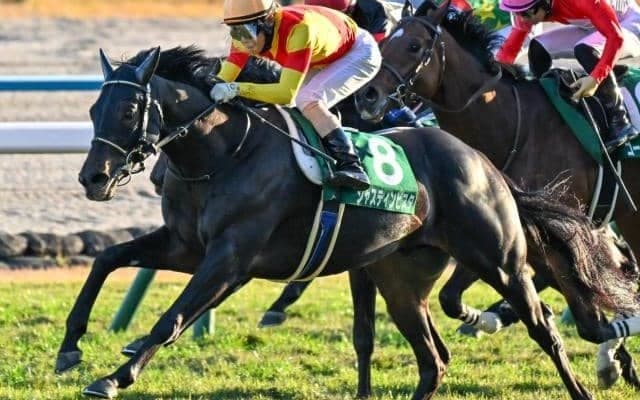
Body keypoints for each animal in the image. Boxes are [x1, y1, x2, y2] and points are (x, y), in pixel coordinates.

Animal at [55, 45, 634, 400]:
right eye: (92, 110)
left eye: (128, 112)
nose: (92, 177)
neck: (224, 153)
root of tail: (483, 162)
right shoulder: (185, 246)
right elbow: (106, 258)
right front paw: (70, 348)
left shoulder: (230, 259)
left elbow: (171, 318)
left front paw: (115, 377)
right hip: (401, 281)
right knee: (434, 360)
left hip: (501, 261)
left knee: (545, 329)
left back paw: (583, 381)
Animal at [355, 0, 640, 389]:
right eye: (383, 43)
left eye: (414, 46)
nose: (367, 96)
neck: (514, 125)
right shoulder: (506, 233)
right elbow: (450, 297)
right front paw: (491, 319)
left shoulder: (531, 234)